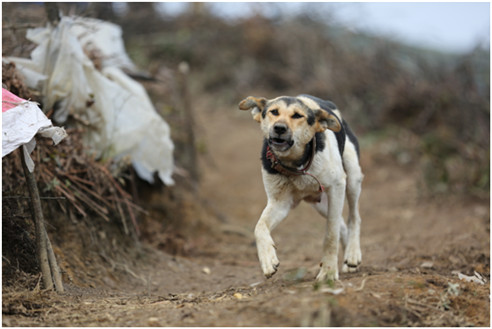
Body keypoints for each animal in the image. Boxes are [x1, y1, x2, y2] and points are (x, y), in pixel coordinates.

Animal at [240, 93, 364, 280]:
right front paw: (268, 260)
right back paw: (347, 262)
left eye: (297, 116)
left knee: (354, 217)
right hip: (321, 205)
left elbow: (331, 234)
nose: (279, 128)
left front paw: (328, 272)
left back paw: (353, 254)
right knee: (342, 223)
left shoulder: (337, 186)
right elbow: (259, 227)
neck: (296, 164)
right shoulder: (280, 203)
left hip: (352, 177)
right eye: (274, 112)